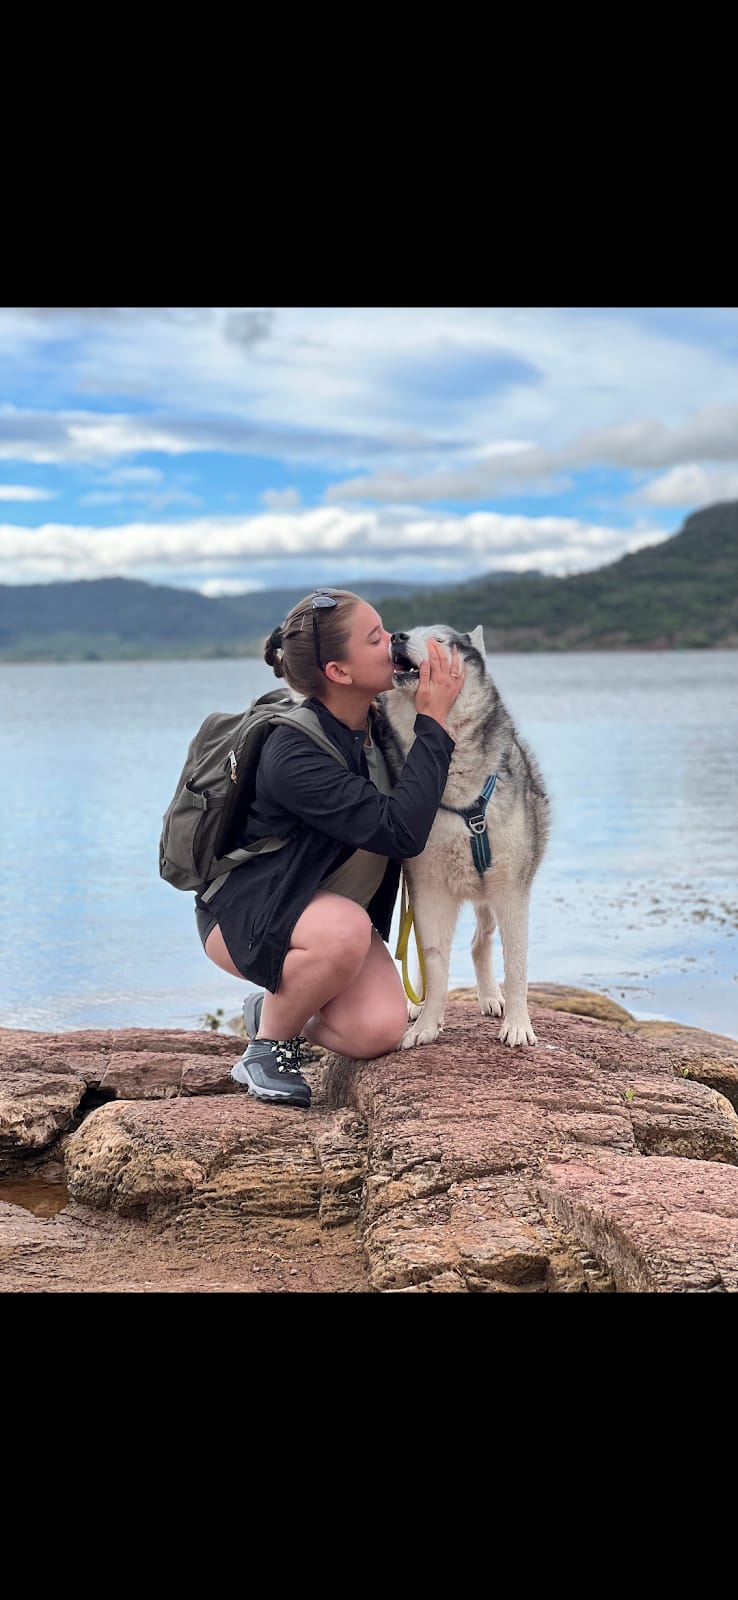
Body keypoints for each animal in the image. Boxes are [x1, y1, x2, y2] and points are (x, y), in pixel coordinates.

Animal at [380, 624, 550, 1048]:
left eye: (440, 641)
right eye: (409, 631)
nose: (397, 636)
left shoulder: (511, 889)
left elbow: (516, 965)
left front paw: (518, 1025)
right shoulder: (429, 889)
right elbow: (435, 962)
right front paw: (426, 1026)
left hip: (488, 893)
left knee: (479, 943)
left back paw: (491, 997)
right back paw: (416, 1006)